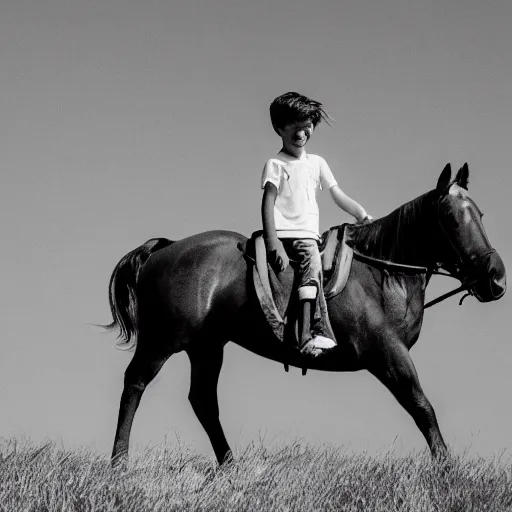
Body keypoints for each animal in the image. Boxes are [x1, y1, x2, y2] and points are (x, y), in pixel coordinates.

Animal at [104, 164, 504, 464]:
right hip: (162, 341)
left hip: (206, 347)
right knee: (134, 384)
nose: (495, 275)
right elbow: (422, 407)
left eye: (480, 214)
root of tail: (164, 249)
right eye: (451, 219)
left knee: (203, 402)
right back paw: (119, 463)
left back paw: (231, 467)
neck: (382, 272)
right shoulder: (387, 353)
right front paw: (447, 471)